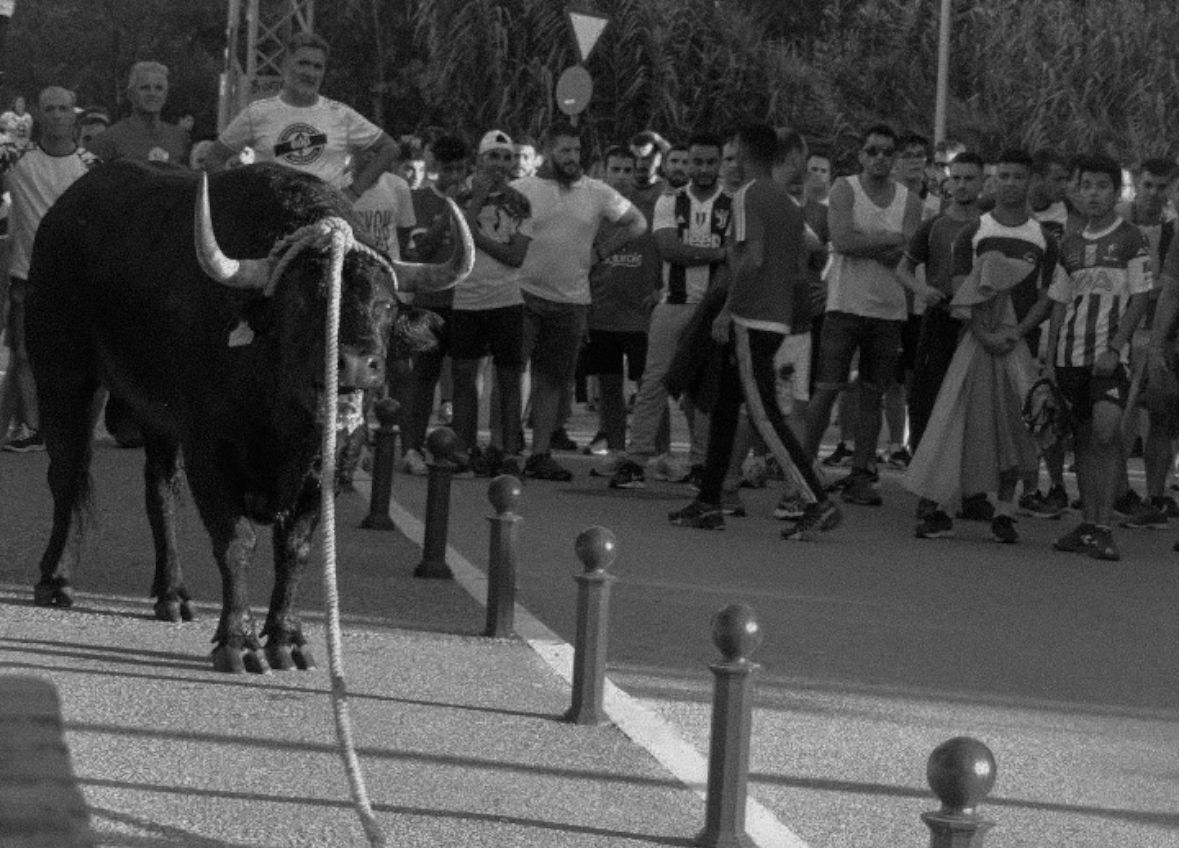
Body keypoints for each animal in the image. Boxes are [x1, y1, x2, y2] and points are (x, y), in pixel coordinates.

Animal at [27, 162, 469, 674]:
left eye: (385, 304)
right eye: (301, 301)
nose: (357, 363)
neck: (285, 421)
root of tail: (62, 210)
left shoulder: (327, 471)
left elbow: (294, 551)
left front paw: (286, 639)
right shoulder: (211, 455)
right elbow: (236, 544)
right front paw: (237, 642)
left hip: (157, 418)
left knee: (160, 491)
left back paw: (172, 594)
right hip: (63, 376)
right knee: (68, 474)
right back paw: (55, 580)